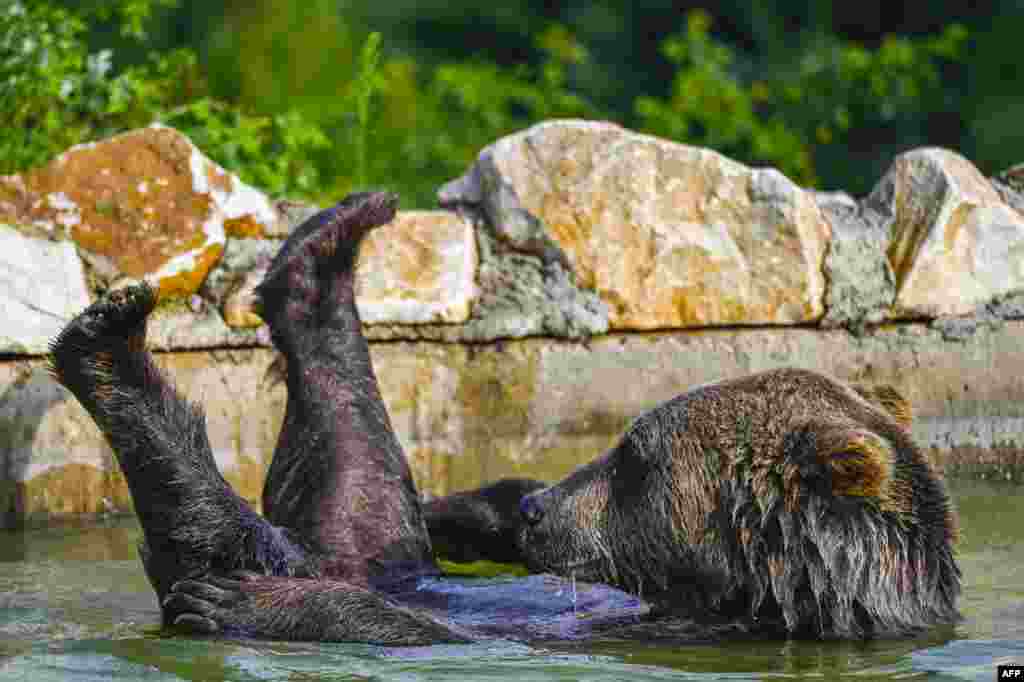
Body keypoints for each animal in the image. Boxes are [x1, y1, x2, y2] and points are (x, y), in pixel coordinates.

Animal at [48, 191, 958, 643]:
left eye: (636, 457)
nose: (540, 511)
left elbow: (445, 635)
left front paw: (247, 607)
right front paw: (479, 505)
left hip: (300, 548)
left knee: (221, 526)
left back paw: (110, 343)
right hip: (367, 546)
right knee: (359, 475)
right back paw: (331, 238)